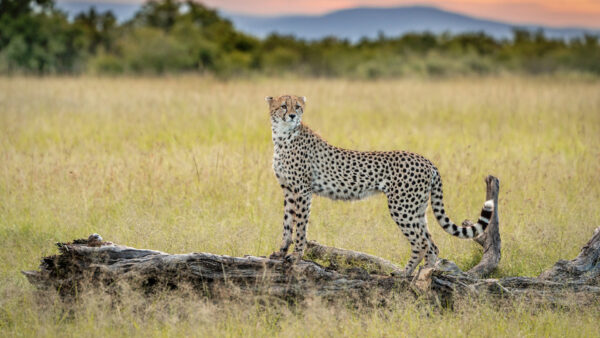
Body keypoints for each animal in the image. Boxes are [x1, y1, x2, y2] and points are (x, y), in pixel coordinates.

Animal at [266, 93, 492, 276]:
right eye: (283, 106)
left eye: (297, 107)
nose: (292, 116)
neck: (283, 135)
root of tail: (427, 160)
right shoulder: (289, 191)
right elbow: (287, 223)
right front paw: (280, 252)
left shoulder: (303, 191)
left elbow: (300, 226)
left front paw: (296, 256)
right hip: (417, 209)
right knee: (432, 245)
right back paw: (424, 275)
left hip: (402, 207)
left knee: (421, 243)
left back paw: (406, 274)